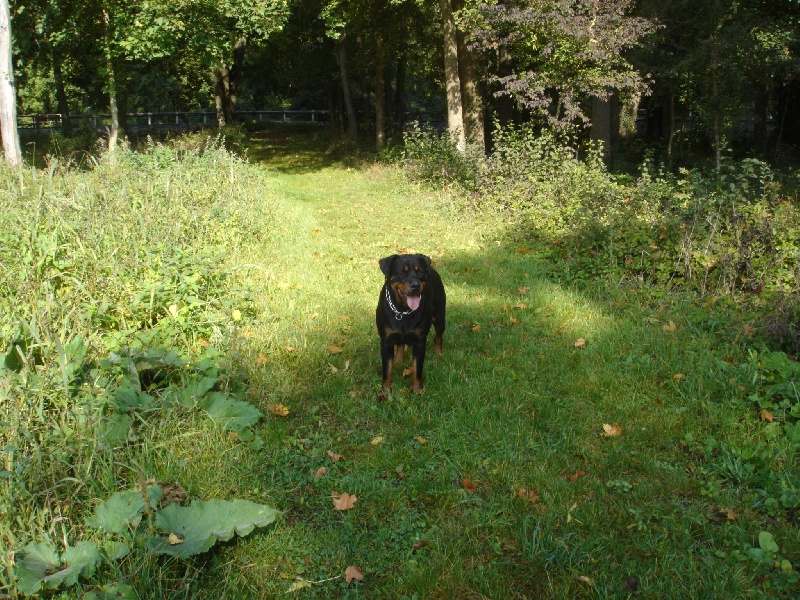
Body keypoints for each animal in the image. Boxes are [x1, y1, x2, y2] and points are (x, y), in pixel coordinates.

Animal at [376, 253, 444, 394]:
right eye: (403, 272)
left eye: (420, 272)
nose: (415, 285)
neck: (402, 310)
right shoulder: (385, 342)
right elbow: (387, 370)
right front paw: (385, 392)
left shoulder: (419, 342)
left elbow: (417, 369)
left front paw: (417, 390)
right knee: (401, 343)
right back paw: (398, 360)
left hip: (439, 316)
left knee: (439, 336)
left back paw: (438, 353)